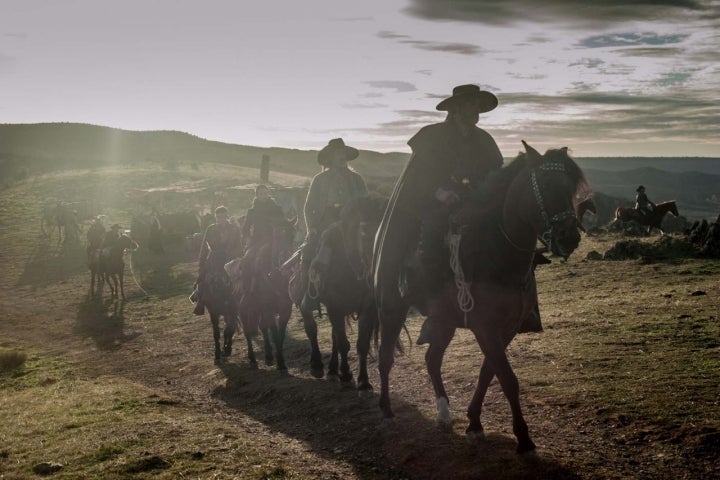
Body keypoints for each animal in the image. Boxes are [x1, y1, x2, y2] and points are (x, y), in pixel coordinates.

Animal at [222, 219, 296, 370]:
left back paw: (267, 356)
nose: (285, 258)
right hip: (243, 310)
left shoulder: (285, 310)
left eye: (292, 236)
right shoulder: (268, 309)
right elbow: (274, 332)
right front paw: (280, 362)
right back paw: (252, 357)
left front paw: (278, 359)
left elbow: (280, 334)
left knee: (260, 327)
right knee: (247, 331)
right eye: (276, 237)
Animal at [290, 195, 388, 386]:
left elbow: (361, 344)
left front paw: (363, 381)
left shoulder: (367, 308)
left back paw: (333, 370)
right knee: (311, 326)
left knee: (334, 335)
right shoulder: (334, 307)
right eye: (364, 231)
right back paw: (318, 365)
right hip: (313, 305)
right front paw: (347, 374)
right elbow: (343, 343)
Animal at [374, 142, 588, 454]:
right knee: (385, 357)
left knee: (432, 359)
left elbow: (488, 373)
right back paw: (387, 410)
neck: (497, 255)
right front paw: (523, 438)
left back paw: (443, 413)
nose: (569, 238)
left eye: (571, 188)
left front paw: (474, 423)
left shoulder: (506, 329)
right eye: (546, 185)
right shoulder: (485, 328)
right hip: (392, 309)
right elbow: (508, 379)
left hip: (444, 321)